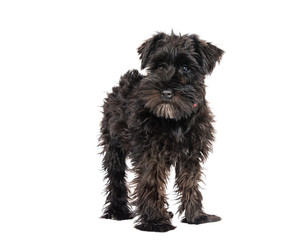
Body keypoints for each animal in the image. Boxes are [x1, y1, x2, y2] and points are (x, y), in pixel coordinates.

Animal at [99, 31, 224, 231]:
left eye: (186, 68)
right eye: (159, 66)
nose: (166, 92)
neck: (175, 121)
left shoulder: (190, 155)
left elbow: (190, 183)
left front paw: (196, 216)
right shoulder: (151, 154)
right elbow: (152, 184)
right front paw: (155, 222)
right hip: (113, 146)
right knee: (116, 178)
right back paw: (118, 212)